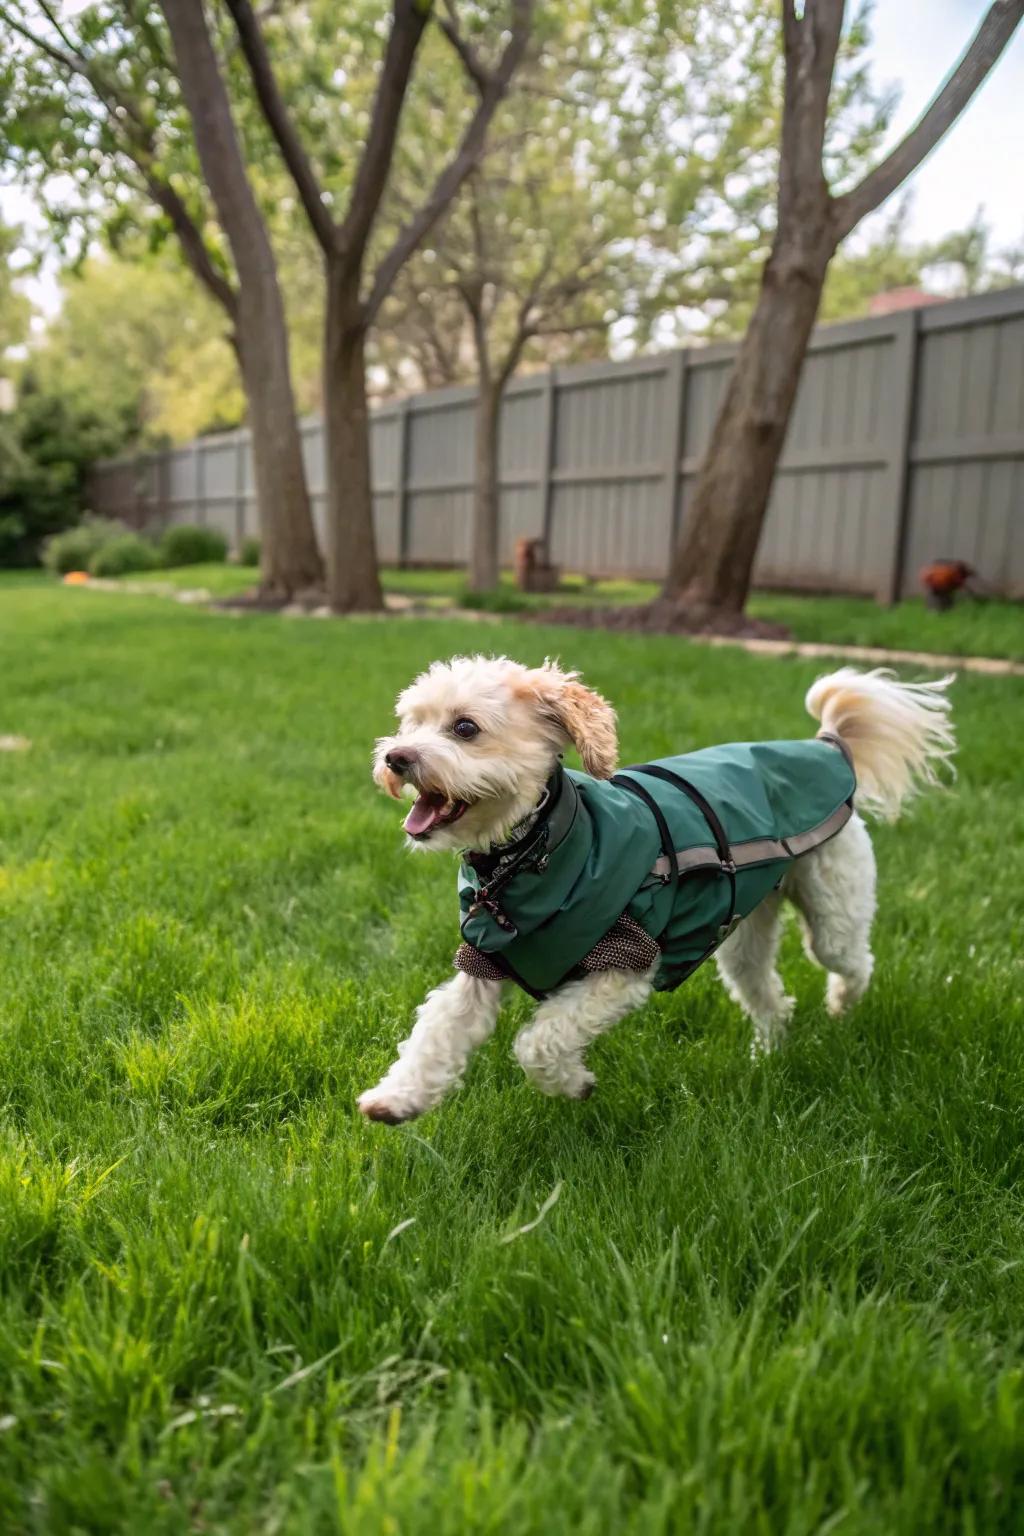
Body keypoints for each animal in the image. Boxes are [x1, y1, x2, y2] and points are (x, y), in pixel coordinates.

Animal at [359, 654, 951, 1124]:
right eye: (410, 722)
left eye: (465, 728)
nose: (395, 758)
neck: (532, 856)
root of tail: (826, 745)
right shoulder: (485, 964)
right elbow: (437, 1031)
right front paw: (397, 1098)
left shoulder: (625, 964)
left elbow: (539, 1042)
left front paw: (574, 1084)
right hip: (743, 937)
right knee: (771, 998)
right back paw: (766, 1058)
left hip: (833, 906)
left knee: (853, 960)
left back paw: (843, 1007)